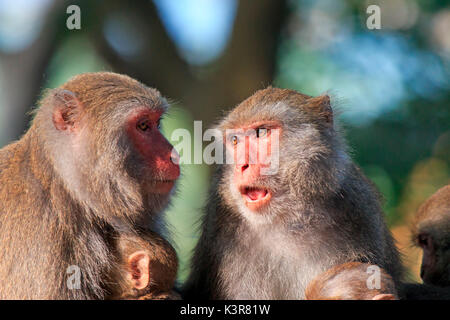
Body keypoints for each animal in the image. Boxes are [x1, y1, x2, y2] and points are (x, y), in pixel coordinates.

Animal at [183, 87, 404, 300]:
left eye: (261, 132)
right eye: (235, 140)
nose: (241, 166)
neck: (287, 221)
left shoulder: (361, 207)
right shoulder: (220, 217)